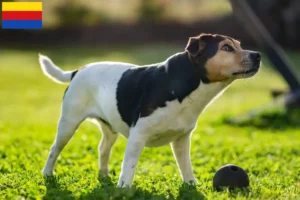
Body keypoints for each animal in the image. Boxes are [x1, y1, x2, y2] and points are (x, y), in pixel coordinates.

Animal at [39, 33, 260, 188]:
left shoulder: (182, 139)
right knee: (54, 149)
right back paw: (47, 174)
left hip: (110, 128)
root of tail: (78, 71)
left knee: (102, 148)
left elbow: (185, 166)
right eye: (226, 47)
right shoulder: (138, 136)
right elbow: (128, 167)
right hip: (68, 124)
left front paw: (191, 185)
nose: (257, 55)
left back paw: (103, 175)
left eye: (240, 45)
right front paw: (124, 189)